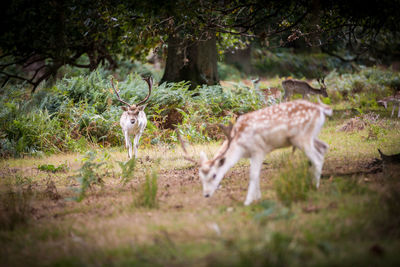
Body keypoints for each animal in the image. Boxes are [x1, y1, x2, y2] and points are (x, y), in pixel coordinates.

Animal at [179, 99, 332, 206]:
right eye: (200, 176)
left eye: (214, 175)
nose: (206, 195)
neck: (240, 146)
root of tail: (321, 109)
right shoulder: (252, 154)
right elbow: (256, 175)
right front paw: (258, 198)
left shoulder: (259, 149)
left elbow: (253, 175)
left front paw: (247, 202)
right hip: (308, 136)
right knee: (324, 147)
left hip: (302, 137)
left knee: (317, 158)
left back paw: (314, 187)